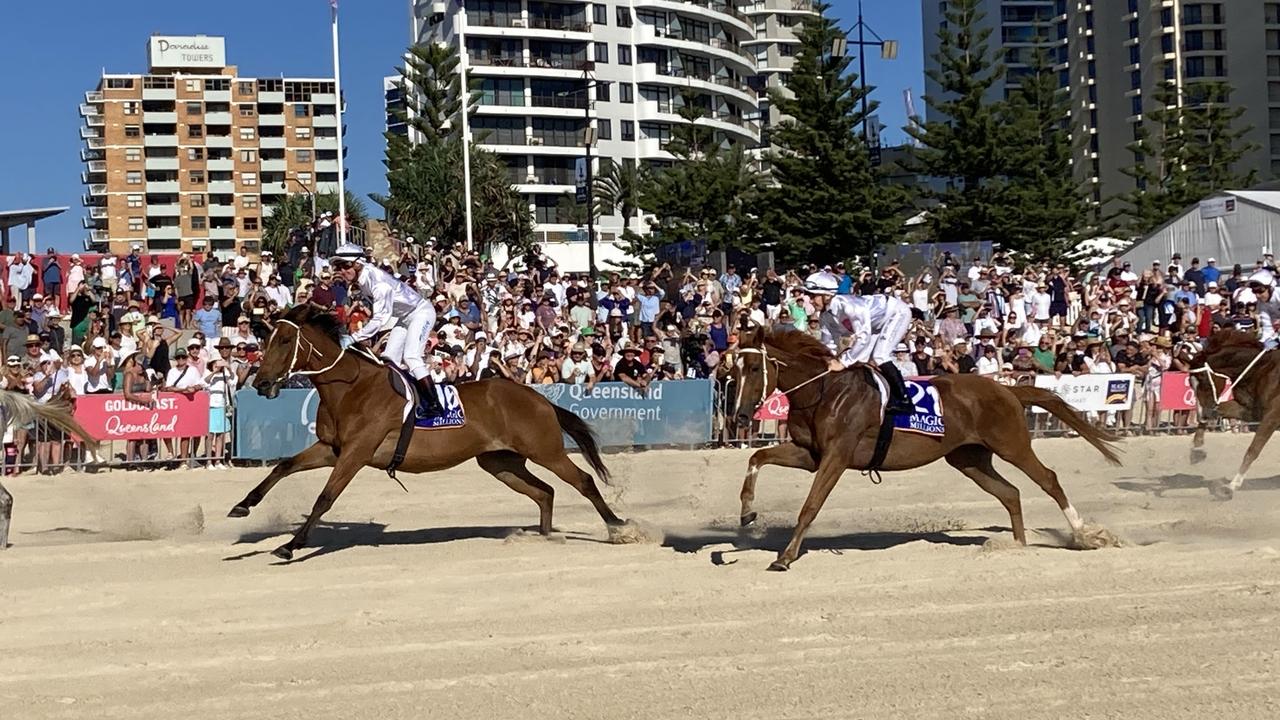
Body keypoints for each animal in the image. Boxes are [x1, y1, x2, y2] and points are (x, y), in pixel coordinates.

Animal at [232, 302, 632, 561]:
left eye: (285, 342)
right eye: (264, 342)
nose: (261, 382)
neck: (350, 388)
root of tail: (538, 397)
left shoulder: (356, 453)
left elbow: (324, 498)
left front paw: (291, 545)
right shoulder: (331, 448)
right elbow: (283, 466)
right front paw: (242, 505)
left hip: (544, 449)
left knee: (582, 481)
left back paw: (619, 527)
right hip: (500, 461)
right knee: (544, 491)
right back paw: (545, 537)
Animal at [732, 324, 1121, 566]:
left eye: (753, 367)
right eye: (730, 370)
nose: (740, 416)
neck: (824, 390)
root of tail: (1008, 389)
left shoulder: (837, 456)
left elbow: (810, 505)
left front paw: (785, 557)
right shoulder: (810, 454)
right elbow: (757, 457)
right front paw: (747, 512)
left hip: (1012, 444)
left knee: (1048, 480)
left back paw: (1085, 536)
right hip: (968, 459)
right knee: (1010, 493)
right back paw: (1017, 546)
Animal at [1182, 327, 1274, 497]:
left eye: (1204, 381)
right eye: (1191, 384)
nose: (1199, 411)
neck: (1262, 370)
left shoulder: (1271, 417)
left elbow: (1253, 450)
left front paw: (1231, 486)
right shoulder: (1250, 410)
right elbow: (1216, 412)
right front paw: (1197, 450)